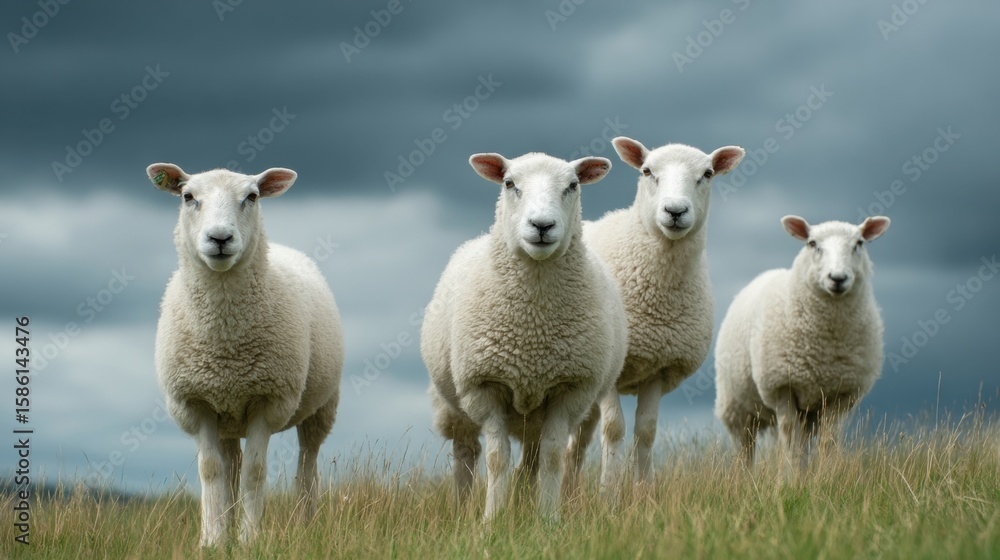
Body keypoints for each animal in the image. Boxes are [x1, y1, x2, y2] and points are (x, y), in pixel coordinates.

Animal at [147, 163, 344, 546]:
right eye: (187, 196)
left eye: (251, 197)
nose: (220, 238)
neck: (225, 346)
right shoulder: (197, 403)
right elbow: (212, 471)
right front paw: (213, 539)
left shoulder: (268, 401)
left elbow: (255, 470)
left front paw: (251, 537)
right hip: (227, 415)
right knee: (231, 466)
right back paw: (227, 522)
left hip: (321, 407)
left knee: (307, 463)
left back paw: (305, 523)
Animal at [421, 152, 628, 521]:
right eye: (509, 183)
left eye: (572, 185)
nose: (542, 226)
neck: (534, 326)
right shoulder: (484, 387)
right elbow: (496, 459)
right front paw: (491, 520)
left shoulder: (569, 390)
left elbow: (552, 458)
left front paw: (547, 520)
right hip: (454, 404)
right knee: (466, 453)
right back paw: (463, 508)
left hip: (539, 414)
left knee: (531, 461)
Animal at [564, 137, 746, 485]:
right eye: (647, 171)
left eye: (707, 174)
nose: (675, 211)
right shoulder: (613, 365)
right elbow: (614, 429)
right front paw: (609, 490)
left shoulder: (659, 367)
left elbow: (646, 432)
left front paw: (643, 489)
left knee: (577, 442)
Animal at [714, 215, 890, 469]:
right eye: (812, 243)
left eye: (859, 244)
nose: (838, 278)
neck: (825, 344)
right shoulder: (782, 387)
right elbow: (790, 440)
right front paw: (791, 476)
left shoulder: (840, 393)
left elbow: (828, 440)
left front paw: (825, 473)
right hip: (736, 406)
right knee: (744, 448)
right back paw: (745, 475)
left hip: (809, 411)